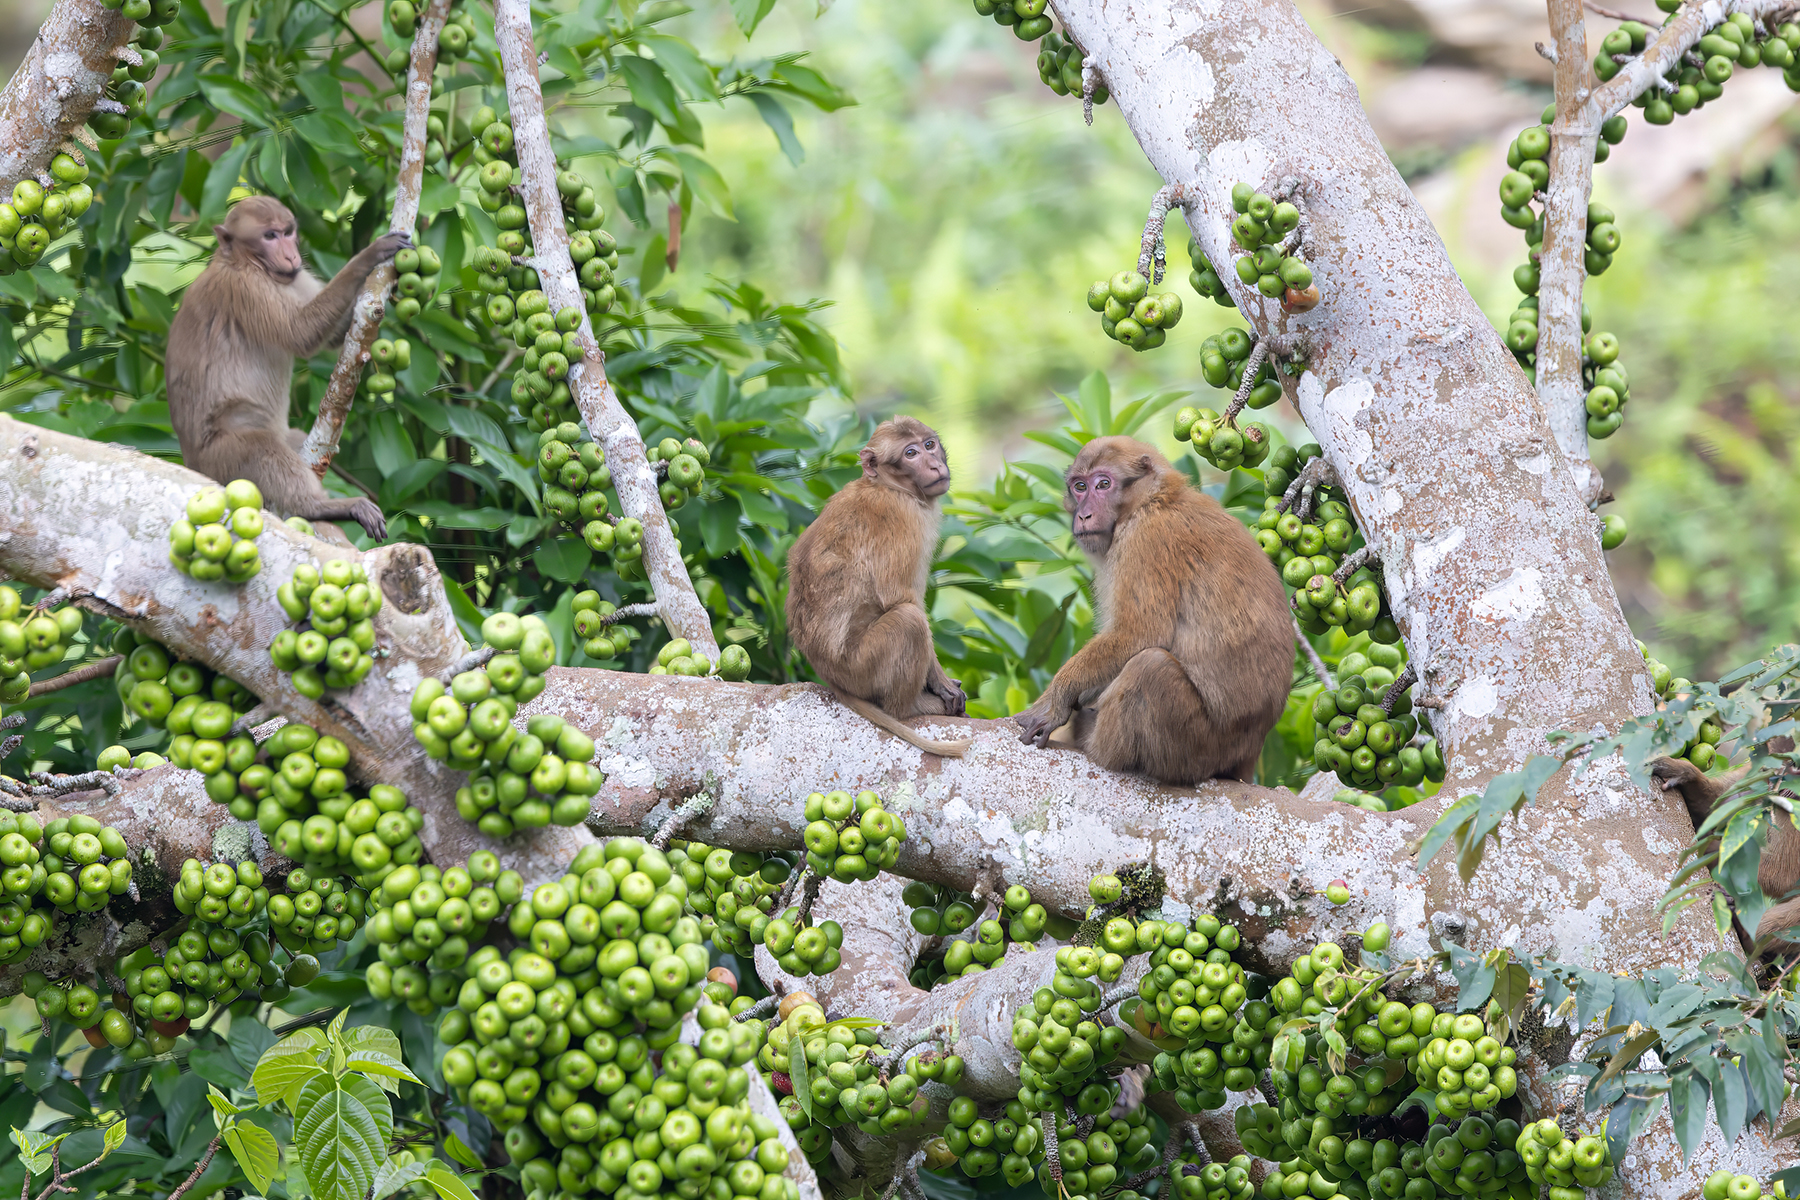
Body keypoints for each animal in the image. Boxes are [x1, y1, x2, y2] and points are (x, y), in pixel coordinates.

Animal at [167, 195, 408, 541]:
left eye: (288, 231)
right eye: (269, 236)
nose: (291, 254)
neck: (245, 262)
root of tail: (193, 465)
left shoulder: (295, 276)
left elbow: (336, 334)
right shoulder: (247, 288)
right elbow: (301, 333)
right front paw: (370, 254)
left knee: (292, 441)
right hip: (222, 458)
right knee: (261, 449)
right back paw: (319, 507)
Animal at [785, 416, 973, 757]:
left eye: (929, 445)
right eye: (910, 454)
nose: (934, 465)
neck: (887, 485)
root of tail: (832, 678)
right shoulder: (904, 518)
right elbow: (900, 597)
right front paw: (940, 682)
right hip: (863, 668)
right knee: (909, 620)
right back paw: (910, 706)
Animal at [1015, 436, 1292, 785]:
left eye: (1103, 484)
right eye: (1079, 486)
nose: (1084, 515)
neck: (1152, 500)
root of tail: (1249, 755)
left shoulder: (1145, 540)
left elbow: (1139, 634)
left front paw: (1056, 700)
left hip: (1198, 748)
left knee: (1150, 666)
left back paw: (1097, 745)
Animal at [1652, 738, 1800, 953]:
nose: (1785, 779)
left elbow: (1782, 873)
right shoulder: (1762, 772)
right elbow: (1714, 809)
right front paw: (1687, 776)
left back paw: (1748, 936)